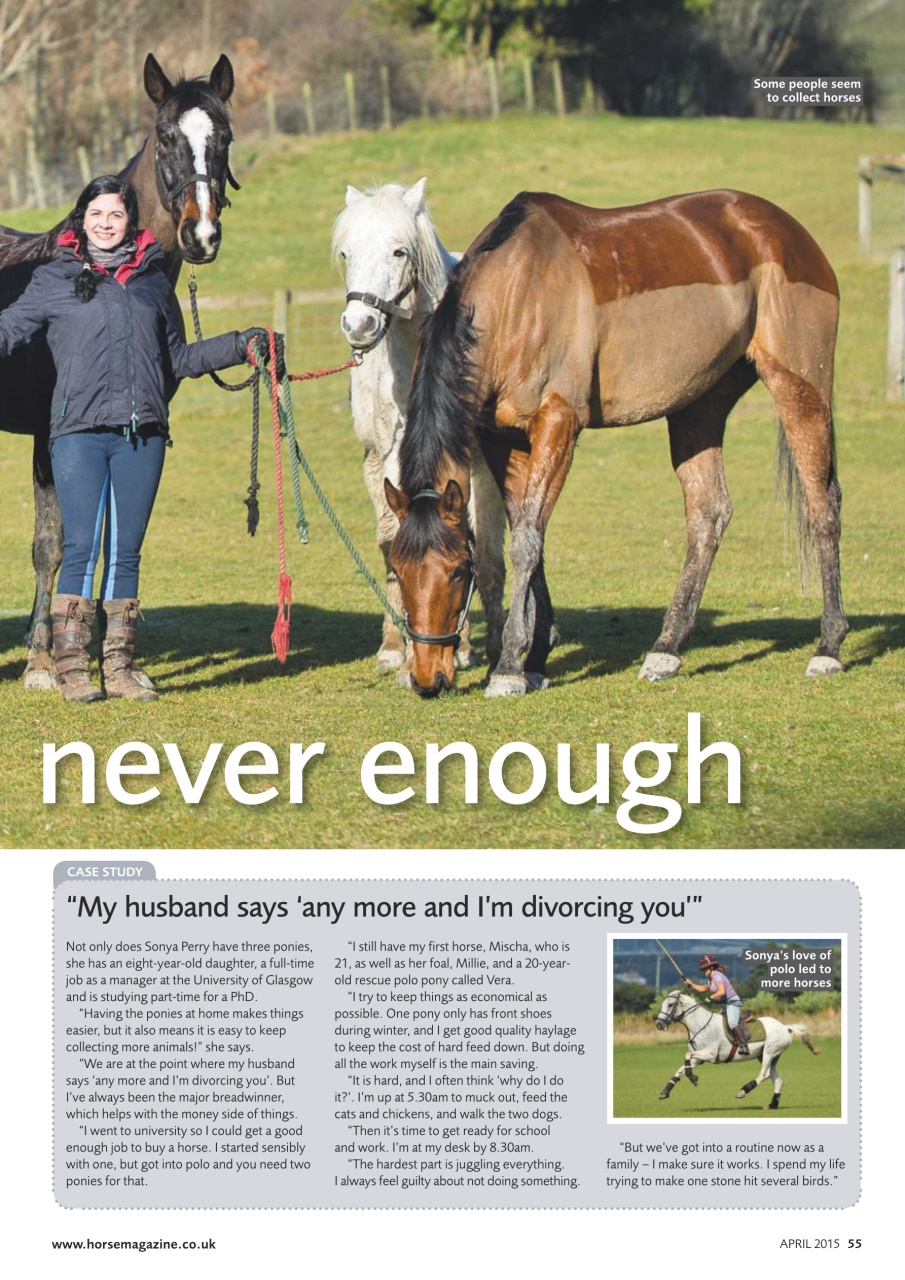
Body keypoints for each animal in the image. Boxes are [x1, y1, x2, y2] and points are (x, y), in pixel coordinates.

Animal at [333, 178, 505, 675]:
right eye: (346, 253)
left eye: (399, 251)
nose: (359, 324)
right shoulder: (385, 460)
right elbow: (394, 539)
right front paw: (396, 647)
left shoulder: (476, 464)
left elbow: (478, 546)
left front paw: (473, 648)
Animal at [384, 188, 847, 698]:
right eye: (398, 571)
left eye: (457, 571)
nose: (428, 679)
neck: (516, 294)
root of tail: (786, 231)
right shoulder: (500, 438)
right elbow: (529, 532)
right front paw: (536, 656)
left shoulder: (559, 424)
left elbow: (526, 541)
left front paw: (508, 667)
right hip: (699, 405)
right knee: (709, 513)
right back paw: (667, 648)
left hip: (800, 386)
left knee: (822, 505)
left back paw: (828, 646)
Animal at [653, 989, 820, 1110]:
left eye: (670, 1005)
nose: (659, 1024)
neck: (700, 1025)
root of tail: (785, 1028)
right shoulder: (699, 1058)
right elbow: (681, 1068)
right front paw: (665, 1092)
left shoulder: (711, 1054)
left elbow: (686, 1055)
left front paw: (693, 1078)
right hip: (768, 1056)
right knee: (778, 1080)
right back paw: (773, 1104)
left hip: (769, 1052)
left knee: (764, 1075)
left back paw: (743, 1091)